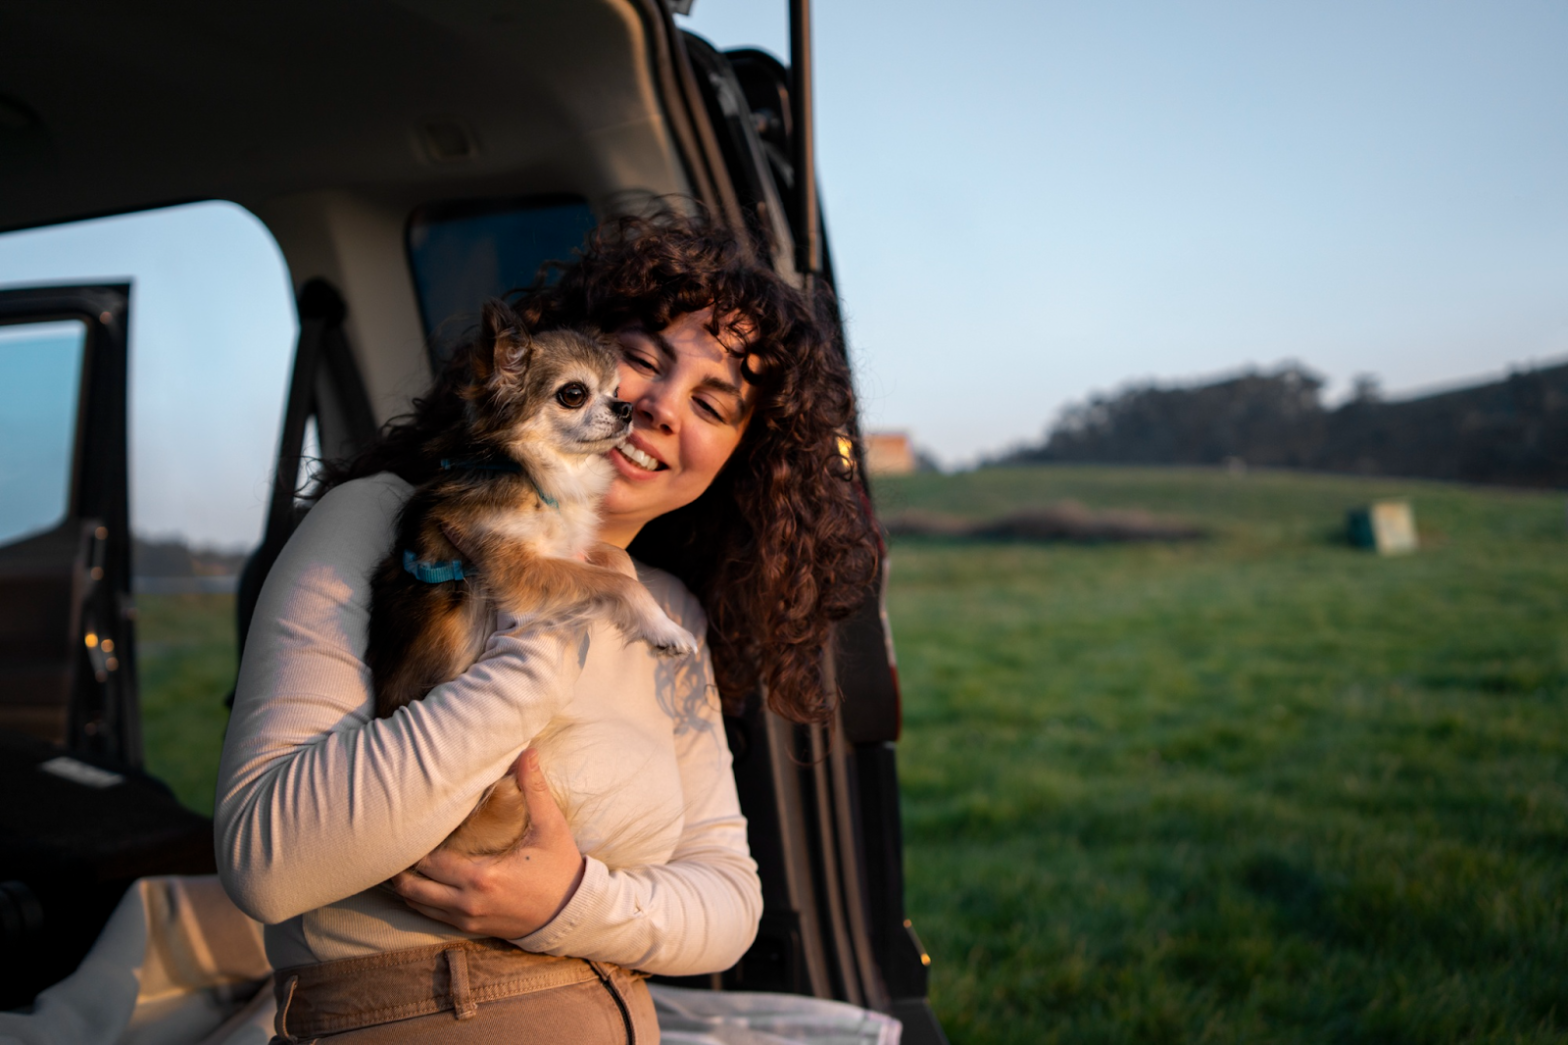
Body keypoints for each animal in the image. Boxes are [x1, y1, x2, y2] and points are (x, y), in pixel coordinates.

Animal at [368, 301, 699, 853]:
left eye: (617, 388)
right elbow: (618, 583)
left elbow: (613, 561)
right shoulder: (513, 566)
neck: (530, 470)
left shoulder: (567, 546)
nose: (627, 408)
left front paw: (658, 625)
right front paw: (665, 629)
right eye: (574, 393)